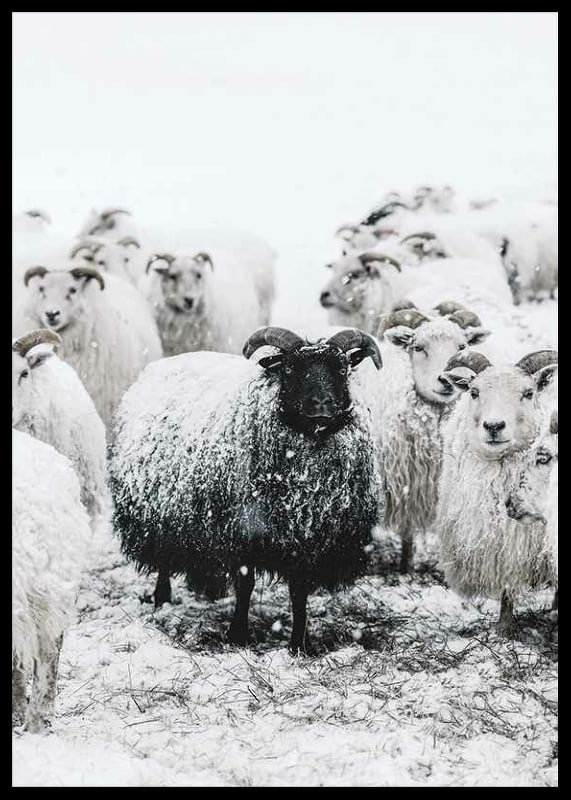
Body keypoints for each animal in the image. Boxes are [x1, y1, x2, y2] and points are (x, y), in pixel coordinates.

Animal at [108, 326, 384, 654]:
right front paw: (238, 635)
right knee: (164, 558)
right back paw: (162, 599)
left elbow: (299, 591)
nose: (322, 404)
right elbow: (245, 584)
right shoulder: (241, 532)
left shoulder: (308, 540)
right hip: (160, 513)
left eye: (341, 368)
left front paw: (300, 645)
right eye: (289, 369)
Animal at [373, 302, 491, 573]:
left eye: (462, 346)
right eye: (417, 347)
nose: (445, 380)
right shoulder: (405, 482)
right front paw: (405, 566)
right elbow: (406, 530)